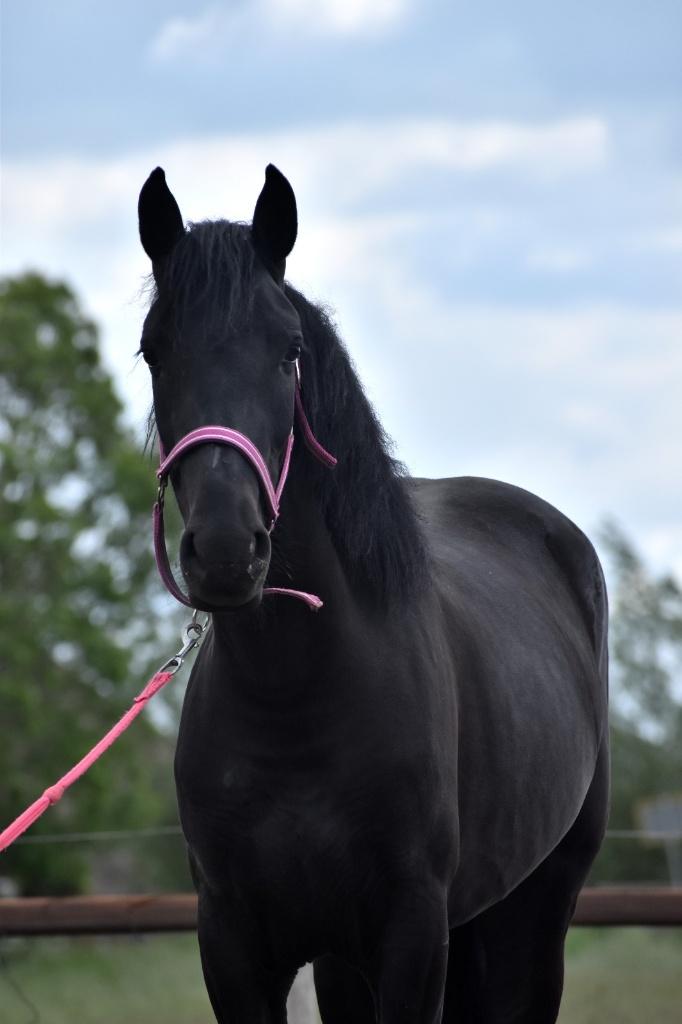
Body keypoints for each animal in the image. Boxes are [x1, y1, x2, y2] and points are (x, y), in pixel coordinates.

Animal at [137, 164, 609, 1023]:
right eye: (154, 351)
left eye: (287, 350)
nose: (225, 550)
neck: (297, 697)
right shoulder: (234, 949)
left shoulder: (413, 938)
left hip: (537, 912)